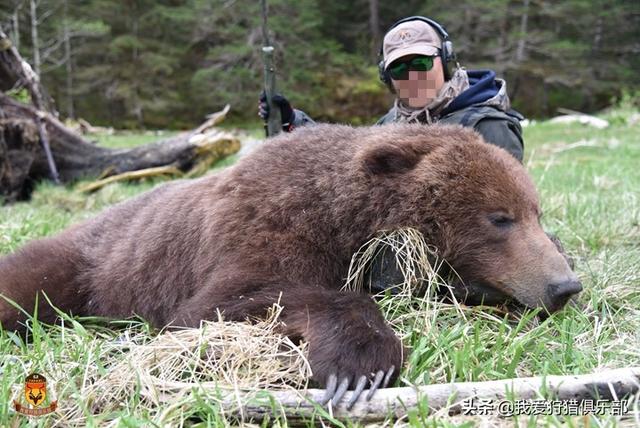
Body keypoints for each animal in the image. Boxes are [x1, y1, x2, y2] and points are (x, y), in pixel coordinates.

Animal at [0, 123, 580, 404]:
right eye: (499, 218)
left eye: (536, 212)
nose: (563, 286)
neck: (343, 216)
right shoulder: (258, 230)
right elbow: (228, 303)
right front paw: (360, 363)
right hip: (85, 266)